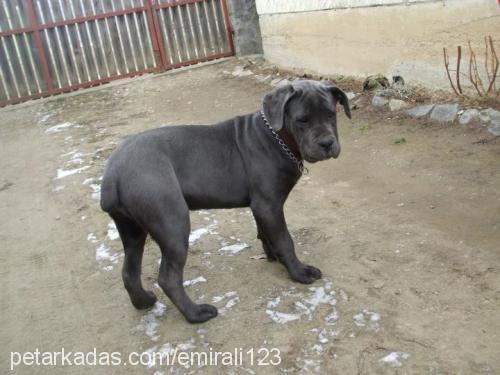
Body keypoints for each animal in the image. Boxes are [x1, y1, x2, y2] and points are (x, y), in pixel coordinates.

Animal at [100, 81, 352, 324]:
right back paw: (196, 314)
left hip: (132, 229)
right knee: (168, 278)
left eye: (331, 114)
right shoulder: (268, 204)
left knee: (129, 272)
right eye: (302, 120)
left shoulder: (261, 205)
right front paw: (299, 272)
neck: (277, 137)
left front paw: (273, 257)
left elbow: (265, 234)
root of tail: (113, 173)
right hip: (172, 223)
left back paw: (144, 301)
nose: (327, 143)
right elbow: (284, 240)